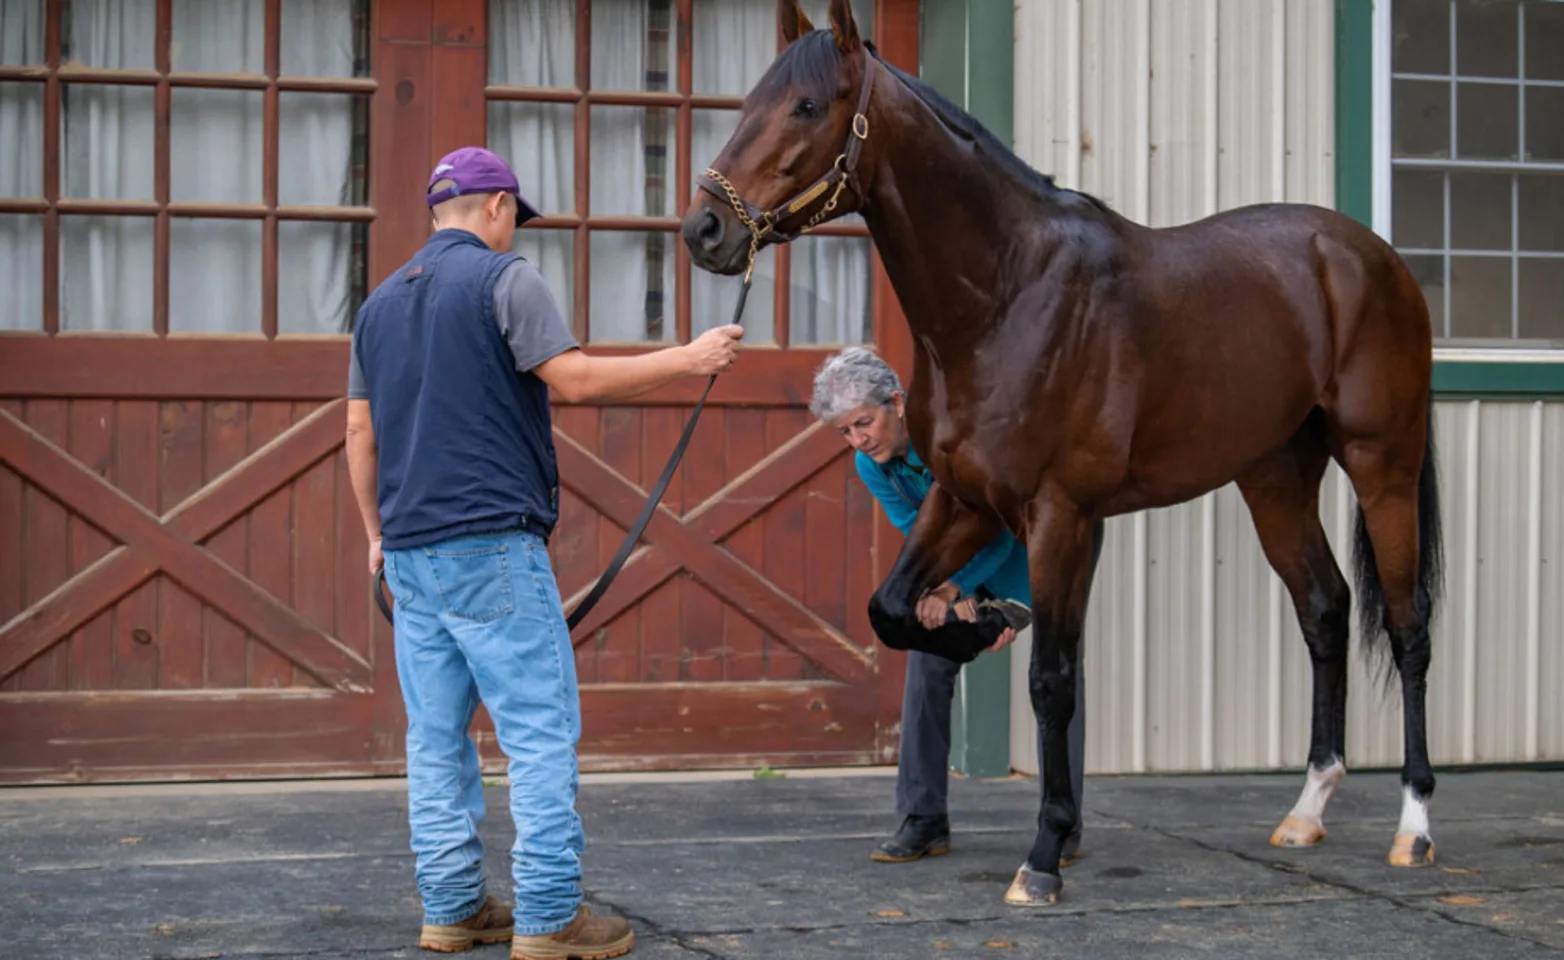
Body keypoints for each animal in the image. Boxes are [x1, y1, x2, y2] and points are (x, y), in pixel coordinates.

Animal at [682, 0, 1444, 906]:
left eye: (803, 106)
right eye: (749, 102)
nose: (704, 230)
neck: (1007, 297)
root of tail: (1371, 257)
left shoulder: (1057, 515)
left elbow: (1051, 679)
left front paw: (1043, 856)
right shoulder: (964, 502)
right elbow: (891, 609)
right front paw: (976, 628)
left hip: (1381, 462)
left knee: (1406, 624)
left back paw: (1414, 827)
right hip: (1274, 478)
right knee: (1325, 610)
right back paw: (1307, 809)